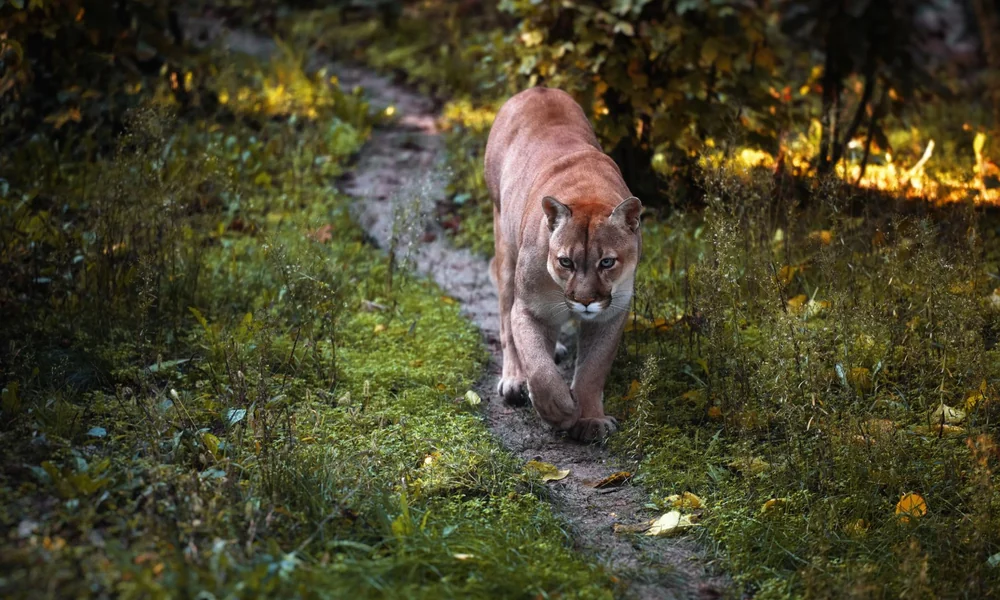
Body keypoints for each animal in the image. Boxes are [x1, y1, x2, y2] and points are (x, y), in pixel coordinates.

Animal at [484, 87, 642, 442]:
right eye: (566, 261)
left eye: (607, 262)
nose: (584, 301)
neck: (588, 192)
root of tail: (536, 89)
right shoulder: (529, 308)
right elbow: (538, 365)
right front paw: (558, 409)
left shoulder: (611, 313)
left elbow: (593, 370)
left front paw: (591, 419)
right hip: (505, 246)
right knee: (505, 323)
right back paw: (514, 381)